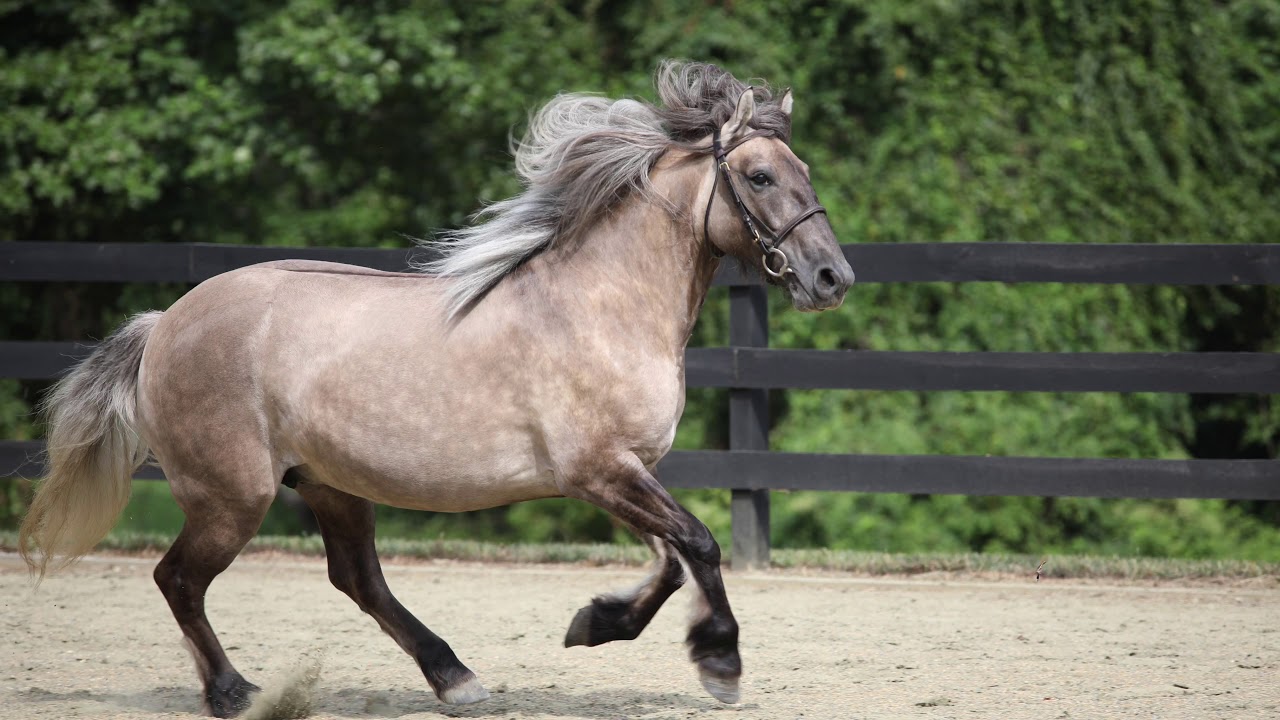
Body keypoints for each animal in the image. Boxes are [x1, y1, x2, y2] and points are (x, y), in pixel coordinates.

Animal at [18, 60, 854, 717]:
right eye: (760, 176)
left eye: (807, 172)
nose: (831, 278)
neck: (599, 306)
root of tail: (163, 324)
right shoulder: (598, 471)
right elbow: (700, 544)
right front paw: (720, 663)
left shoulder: (625, 473)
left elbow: (672, 557)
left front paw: (595, 621)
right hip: (233, 496)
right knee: (180, 580)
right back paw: (236, 693)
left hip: (327, 483)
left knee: (356, 580)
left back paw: (455, 678)